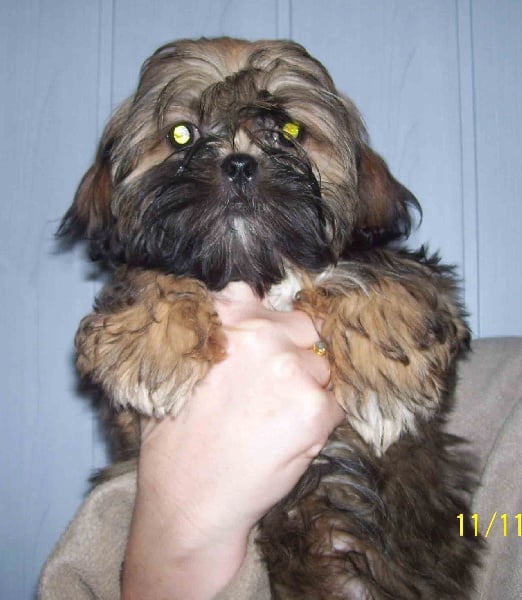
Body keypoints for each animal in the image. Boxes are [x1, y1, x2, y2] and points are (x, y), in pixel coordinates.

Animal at [59, 37, 483, 598]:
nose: (239, 164)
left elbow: (379, 271)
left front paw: (388, 384)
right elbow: (146, 272)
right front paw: (154, 349)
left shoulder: (408, 276)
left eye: (291, 131)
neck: (254, 269)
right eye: (182, 134)